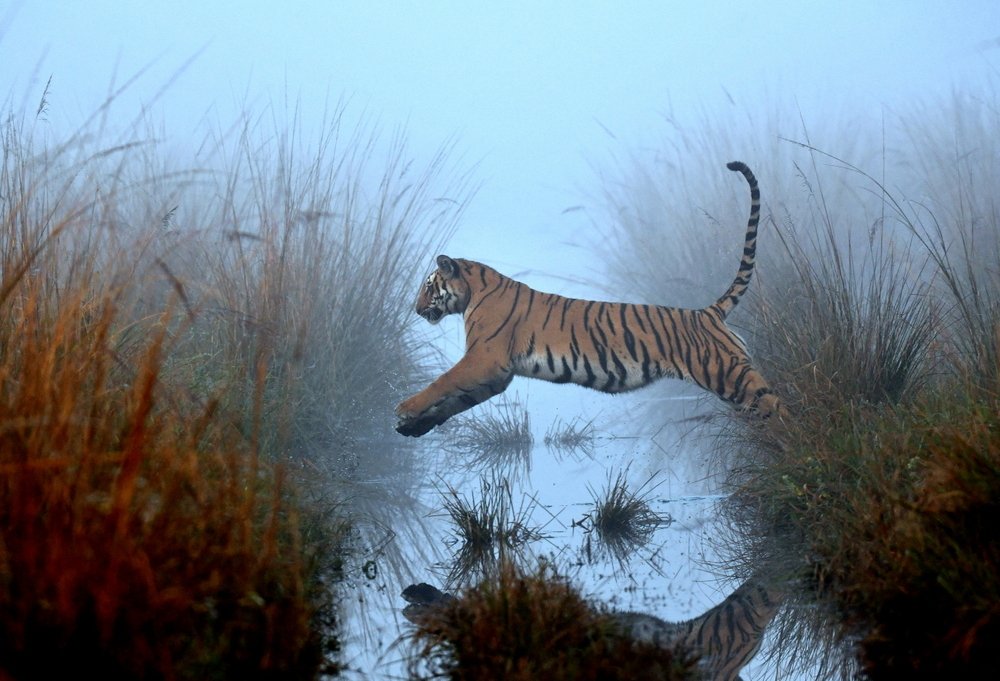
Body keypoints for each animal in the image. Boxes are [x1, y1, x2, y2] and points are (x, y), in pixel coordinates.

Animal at [395, 161, 781, 437]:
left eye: (428, 286)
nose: (415, 309)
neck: (474, 292)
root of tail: (708, 313)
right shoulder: (495, 373)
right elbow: (455, 400)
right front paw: (413, 426)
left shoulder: (485, 357)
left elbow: (443, 382)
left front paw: (405, 408)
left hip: (729, 375)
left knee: (778, 406)